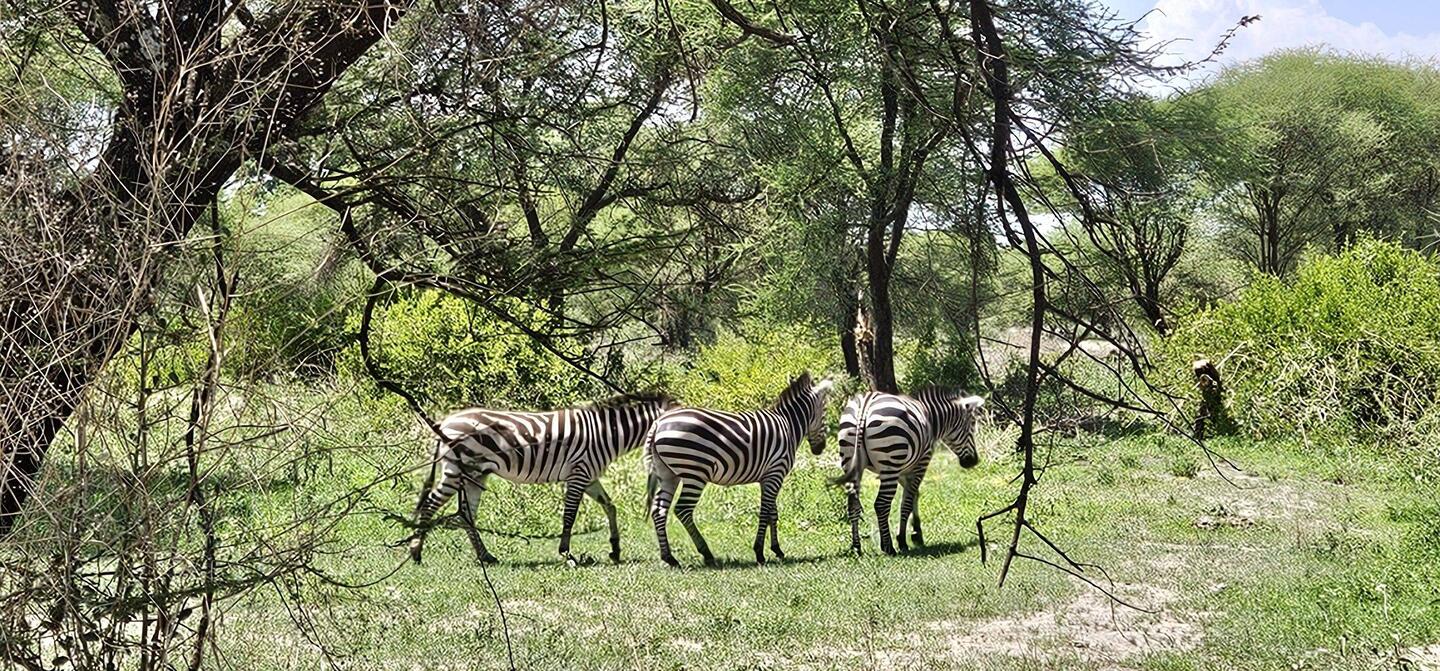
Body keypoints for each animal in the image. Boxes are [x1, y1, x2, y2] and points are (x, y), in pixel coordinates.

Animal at [408, 392, 676, 564]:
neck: (606, 434)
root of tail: (445, 422)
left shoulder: (589, 476)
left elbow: (610, 507)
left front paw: (615, 549)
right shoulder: (579, 474)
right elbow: (570, 515)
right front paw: (566, 554)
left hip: (474, 474)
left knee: (466, 515)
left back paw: (486, 557)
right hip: (456, 471)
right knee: (430, 504)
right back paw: (416, 552)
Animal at [645, 372, 834, 567]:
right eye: (825, 411)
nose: (819, 448)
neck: (788, 425)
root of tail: (658, 424)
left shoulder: (768, 477)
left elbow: (773, 512)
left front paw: (777, 549)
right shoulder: (776, 472)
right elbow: (765, 512)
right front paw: (759, 552)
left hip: (667, 474)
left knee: (659, 510)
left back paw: (669, 557)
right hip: (695, 473)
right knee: (682, 509)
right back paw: (706, 553)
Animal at [835, 388, 984, 555]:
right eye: (972, 424)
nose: (973, 461)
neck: (931, 419)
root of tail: (864, 407)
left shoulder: (903, 470)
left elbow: (913, 495)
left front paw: (916, 533)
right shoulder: (921, 462)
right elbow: (906, 502)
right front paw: (903, 540)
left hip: (850, 461)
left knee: (853, 505)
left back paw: (856, 547)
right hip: (890, 462)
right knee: (881, 504)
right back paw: (888, 547)